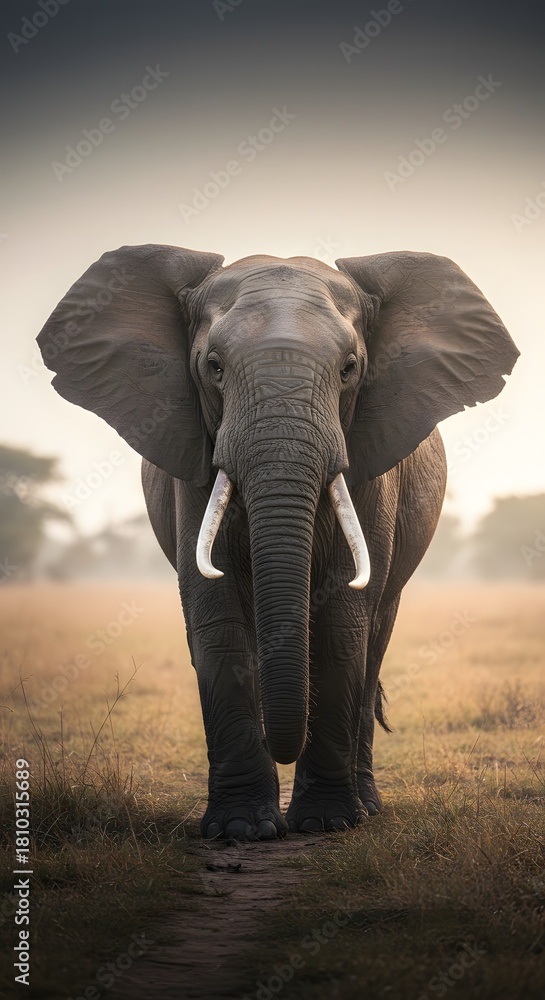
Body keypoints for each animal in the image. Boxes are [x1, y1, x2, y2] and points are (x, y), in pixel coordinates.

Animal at [37, 245, 518, 840]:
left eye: (350, 368)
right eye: (213, 367)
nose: (282, 746)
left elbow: (342, 621)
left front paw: (327, 823)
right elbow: (215, 615)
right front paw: (240, 829)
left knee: (375, 639)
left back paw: (366, 806)